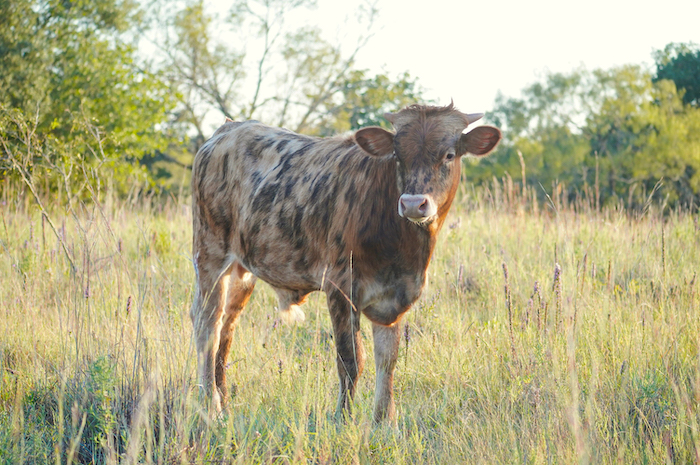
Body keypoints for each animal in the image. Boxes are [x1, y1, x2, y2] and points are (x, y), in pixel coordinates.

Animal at [189, 101, 500, 420]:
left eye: (449, 154)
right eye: (397, 155)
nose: (413, 203)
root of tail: (229, 127)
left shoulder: (396, 294)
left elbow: (387, 359)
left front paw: (384, 419)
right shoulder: (340, 287)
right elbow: (351, 360)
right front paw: (343, 418)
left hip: (242, 269)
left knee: (227, 328)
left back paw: (224, 402)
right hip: (210, 253)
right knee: (207, 326)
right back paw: (209, 405)